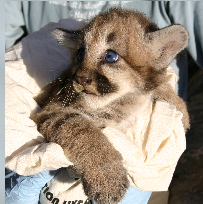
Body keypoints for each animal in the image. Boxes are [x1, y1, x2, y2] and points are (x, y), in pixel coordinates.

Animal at [34, 7, 190, 204]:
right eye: (80, 54)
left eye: (110, 56)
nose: (80, 79)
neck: (123, 103)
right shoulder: (51, 111)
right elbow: (83, 129)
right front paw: (107, 179)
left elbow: (156, 85)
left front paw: (179, 108)